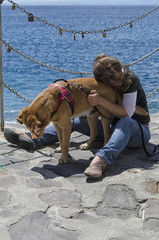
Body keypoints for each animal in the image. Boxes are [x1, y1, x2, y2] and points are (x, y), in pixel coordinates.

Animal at [16, 78, 148, 164]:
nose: (34, 136)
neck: (53, 100)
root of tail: (112, 88)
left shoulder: (66, 125)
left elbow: (66, 143)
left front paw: (64, 158)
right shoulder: (57, 124)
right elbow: (60, 138)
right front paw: (59, 148)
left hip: (104, 115)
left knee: (107, 135)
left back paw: (102, 146)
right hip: (91, 115)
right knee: (94, 132)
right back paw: (87, 145)